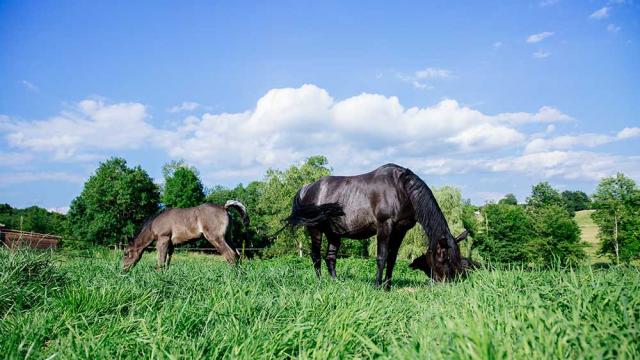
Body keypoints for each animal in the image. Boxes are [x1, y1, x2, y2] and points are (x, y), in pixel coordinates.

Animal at [288, 164, 468, 290]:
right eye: (444, 257)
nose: (448, 283)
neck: (401, 189)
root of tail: (307, 188)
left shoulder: (400, 231)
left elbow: (392, 259)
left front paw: (387, 287)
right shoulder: (384, 227)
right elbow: (381, 257)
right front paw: (377, 286)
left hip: (334, 233)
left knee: (330, 258)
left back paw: (335, 282)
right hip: (315, 229)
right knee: (316, 256)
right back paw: (320, 282)